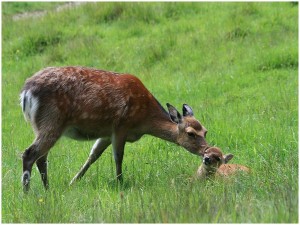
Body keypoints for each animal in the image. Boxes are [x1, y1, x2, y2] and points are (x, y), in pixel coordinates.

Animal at [19, 66, 209, 191]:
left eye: (205, 131)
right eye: (191, 134)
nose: (207, 151)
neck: (143, 120)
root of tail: (25, 94)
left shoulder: (106, 133)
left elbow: (93, 155)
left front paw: (73, 182)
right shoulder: (121, 126)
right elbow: (118, 157)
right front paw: (120, 183)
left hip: (43, 126)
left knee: (41, 157)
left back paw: (47, 189)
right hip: (52, 120)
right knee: (30, 153)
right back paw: (27, 192)